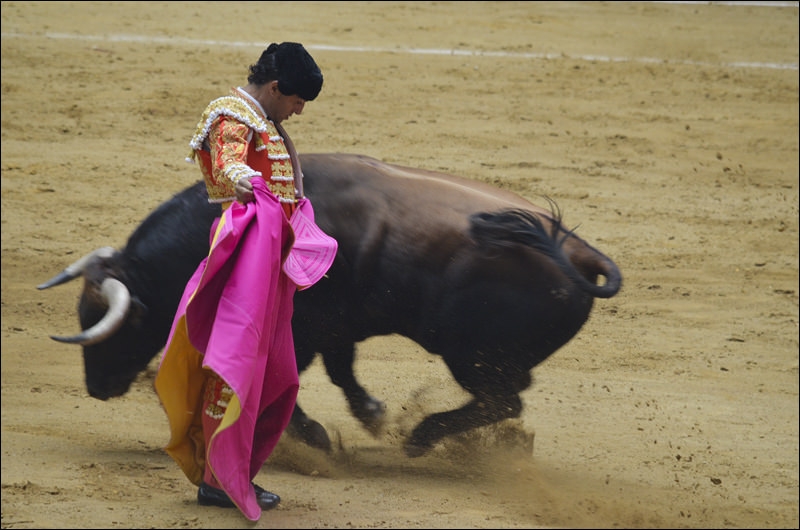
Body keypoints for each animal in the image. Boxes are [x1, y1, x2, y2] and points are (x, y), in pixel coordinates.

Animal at [39, 152, 624, 454]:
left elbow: (288, 381)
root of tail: (584, 254)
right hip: (486, 359)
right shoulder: (339, 329)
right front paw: (369, 415)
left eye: (125, 324)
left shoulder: (306, 329)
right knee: (509, 400)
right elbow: (342, 374)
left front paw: (316, 437)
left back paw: (421, 438)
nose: (97, 387)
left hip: (473, 356)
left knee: (505, 400)